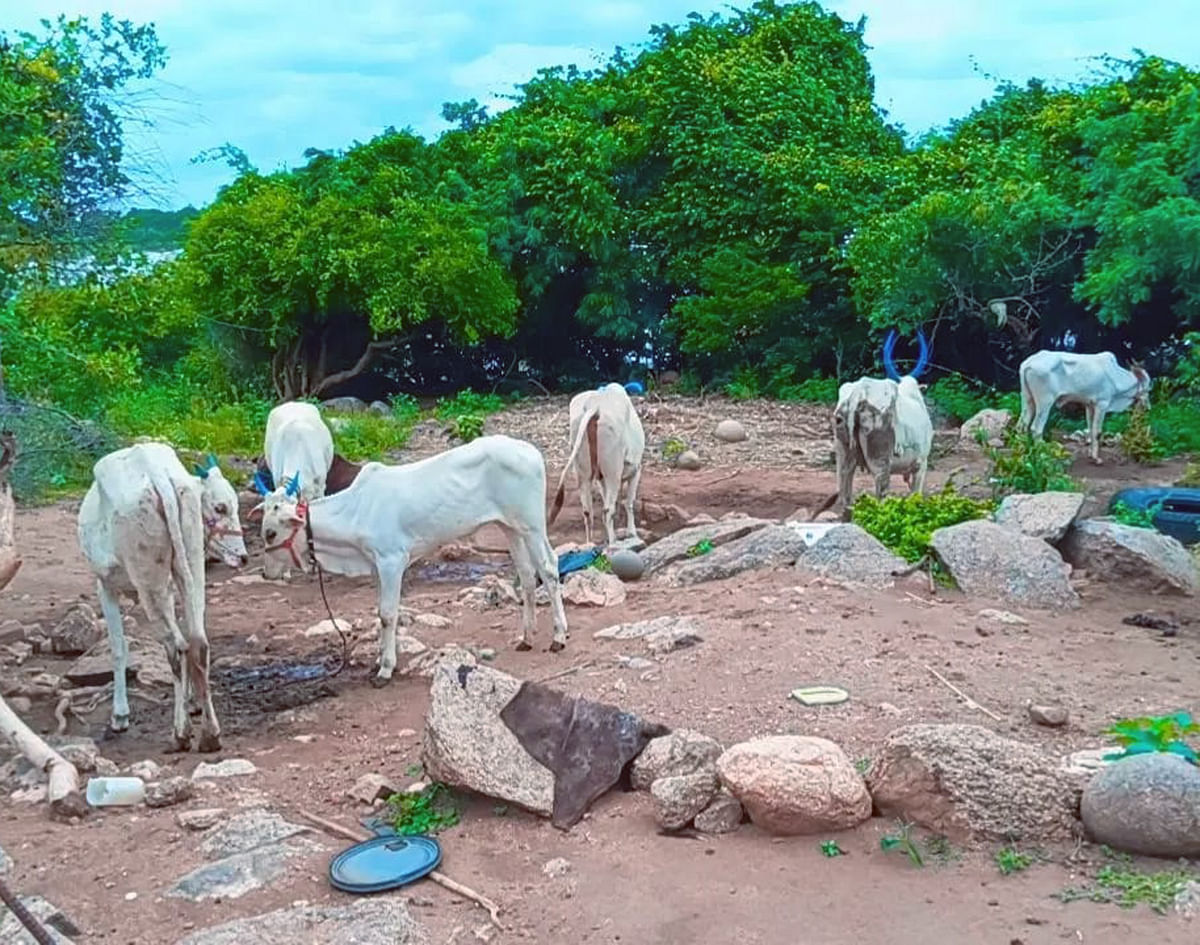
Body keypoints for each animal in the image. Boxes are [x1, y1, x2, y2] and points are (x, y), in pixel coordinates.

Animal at [254, 436, 571, 685]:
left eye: (270, 533)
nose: (267, 574)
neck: (356, 510)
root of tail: (530, 451)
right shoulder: (376, 566)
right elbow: (380, 613)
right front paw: (379, 660)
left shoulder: (392, 561)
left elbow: (387, 614)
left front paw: (385, 669)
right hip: (510, 526)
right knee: (527, 575)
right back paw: (527, 637)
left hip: (532, 525)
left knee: (549, 567)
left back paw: (558, 637)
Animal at [549, 381, 648, 546]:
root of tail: (595, 406)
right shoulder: (635, 470)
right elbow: (629, 503)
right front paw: (632, 533)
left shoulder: (601, 478)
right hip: (613, 471)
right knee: (608, 510)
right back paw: (613, 543)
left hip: (583, 472)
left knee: (587, 511)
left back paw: (591, 544)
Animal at [835, 330, 936, 525]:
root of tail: (858, 392)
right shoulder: (921, 464)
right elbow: (915, 495)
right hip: (881, 462)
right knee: (881, 495)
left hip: (844, 455)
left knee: (845, 491)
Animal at [1022, 347, 1152, 462]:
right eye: (1148, 388)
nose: (1148, 408)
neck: (1116, 376)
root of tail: (1028, 363)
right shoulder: (1102, 404)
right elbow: (1097, 432)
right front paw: (1096, 458)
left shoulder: (1090, 406)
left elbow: (1090, 429)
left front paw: (1090, 454)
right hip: (1045, 402)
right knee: (1036, 429)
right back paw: (1042, 454)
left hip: (1027, 400)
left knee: (1023, 425)